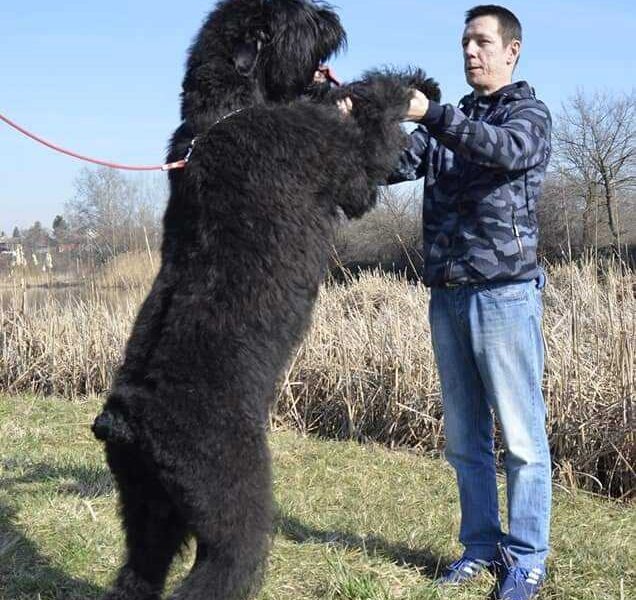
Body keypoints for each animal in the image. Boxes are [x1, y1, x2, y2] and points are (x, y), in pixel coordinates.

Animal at [92, 1, 440, 600]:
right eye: (296, 18)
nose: (332, 17)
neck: (228, 112)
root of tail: (125, 419)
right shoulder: (348, 169)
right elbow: (373, 118)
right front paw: (411, 83)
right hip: (235, 509)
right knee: (221, 572)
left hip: (147, 513)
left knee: (137, 573)